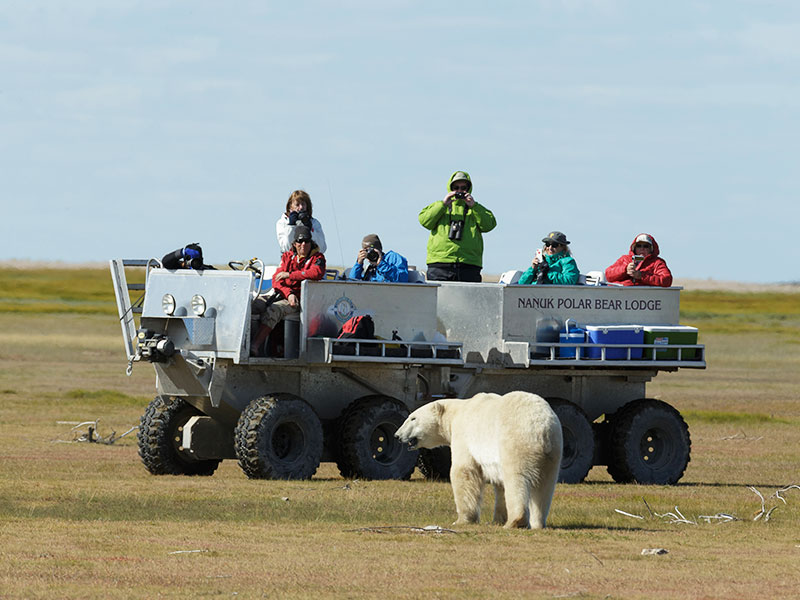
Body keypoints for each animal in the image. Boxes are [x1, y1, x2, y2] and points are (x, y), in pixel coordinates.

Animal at [396, 392, 564, 528]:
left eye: (413, 418)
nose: (397, 435)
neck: (457, 411)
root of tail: (541, 427)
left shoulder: (463, 434)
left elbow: (464, 472)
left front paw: (462, 520)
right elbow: (499, 484)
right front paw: (497, 520)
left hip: (516, 442)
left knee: (516, 480)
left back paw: (515, 522)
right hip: (553, 450)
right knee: (545, 485)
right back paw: (538, 523)